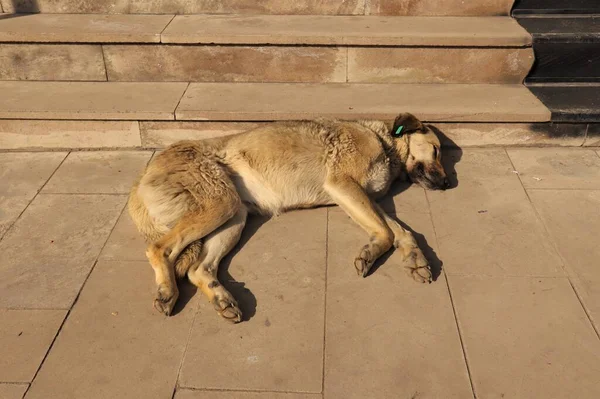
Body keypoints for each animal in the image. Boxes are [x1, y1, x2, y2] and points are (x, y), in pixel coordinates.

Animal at [131, 112, 450, 322]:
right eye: (436, 150)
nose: (448, 184)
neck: (383, 141)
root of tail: (141, 177)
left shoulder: (362, 198)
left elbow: (401, 231)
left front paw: (415, 259)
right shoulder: (343, 186)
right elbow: (386, 232)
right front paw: (370, 254)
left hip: (233, 216)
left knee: (199, 269)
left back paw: (222, 300)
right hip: (218, 204)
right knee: (159, 249)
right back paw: (167, 291)